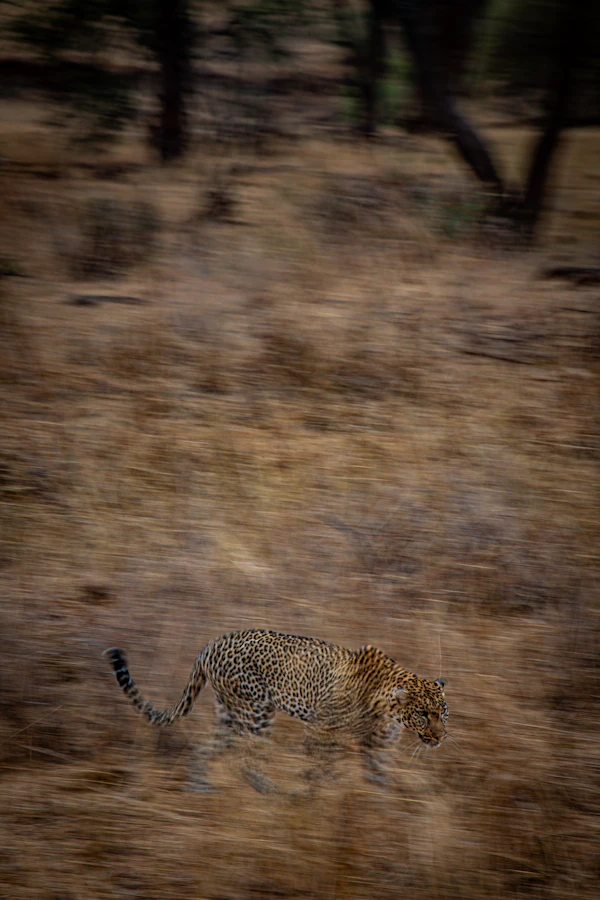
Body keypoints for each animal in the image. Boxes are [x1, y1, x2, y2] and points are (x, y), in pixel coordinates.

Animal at [104, 629, 448, 792]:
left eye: (443, 713)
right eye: (423, 714)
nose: (441, 737)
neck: (388, 709)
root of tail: (210, 645)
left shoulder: (378, 747)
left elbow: (379, 779)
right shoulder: (321, 730)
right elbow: (320, 770)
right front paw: (315, 797)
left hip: (230, 713)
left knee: (205, 747)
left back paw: (199, 789)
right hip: (256, 710)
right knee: (243, 758)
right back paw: (271, 792)